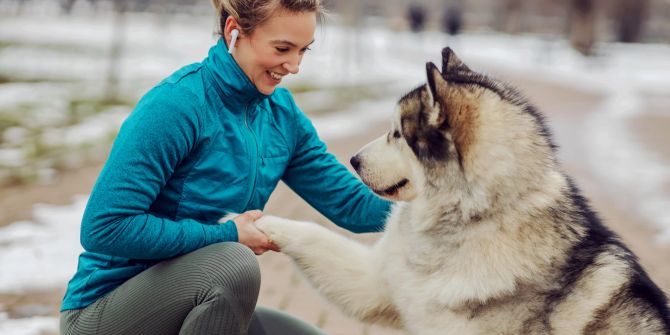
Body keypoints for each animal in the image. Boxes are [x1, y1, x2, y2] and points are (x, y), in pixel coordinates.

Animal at [255, 48, 668, 335]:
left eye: (397, 134)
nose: (353, 160)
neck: (471, 218)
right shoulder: (376, 284)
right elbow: (312, 234)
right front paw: (256, 224)